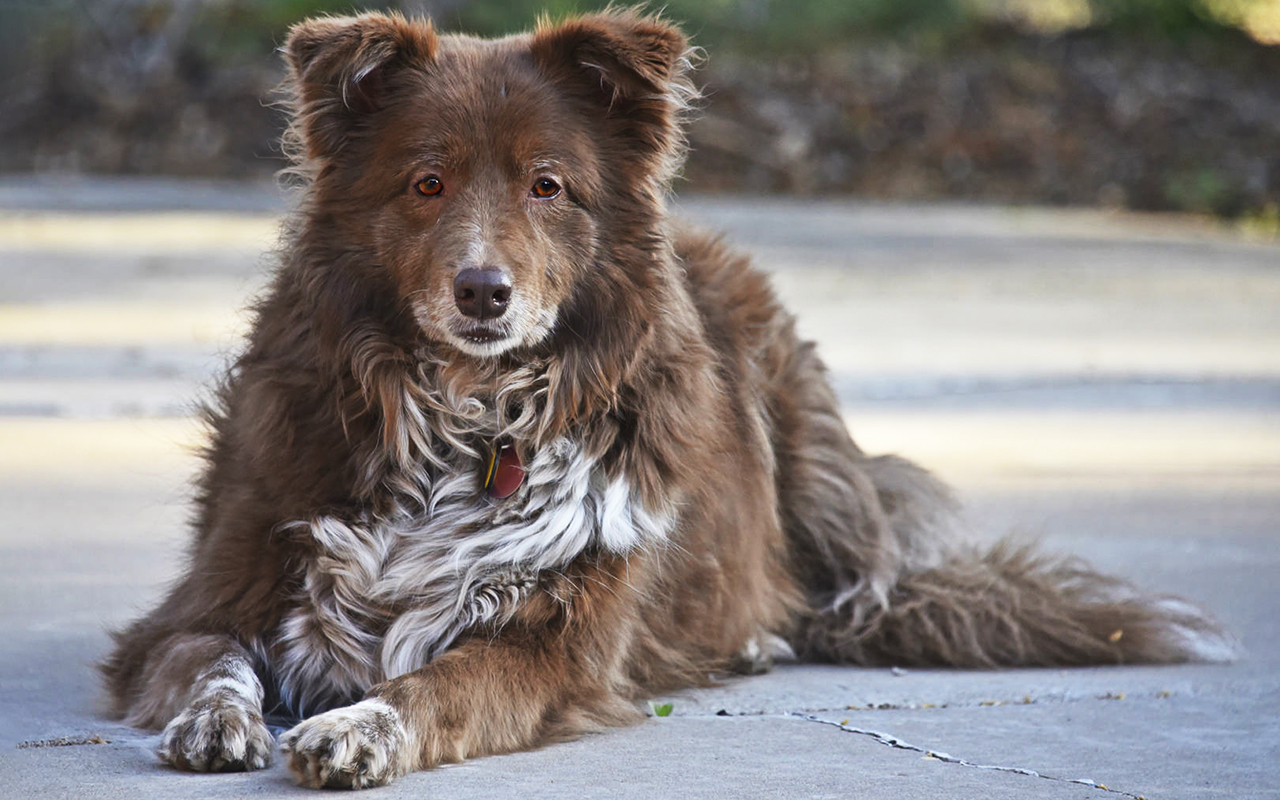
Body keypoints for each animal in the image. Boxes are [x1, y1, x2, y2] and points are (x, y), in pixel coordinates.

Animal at [102, 9, 1239, 788]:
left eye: (547, 185)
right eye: (425, 183)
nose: (483, 291)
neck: (465, 412)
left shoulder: (559, 644)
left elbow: (437, 683)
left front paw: (355, 727)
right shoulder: (203, 598)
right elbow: (210, 656)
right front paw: (217, 717)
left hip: (810, 447)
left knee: (856, 590)